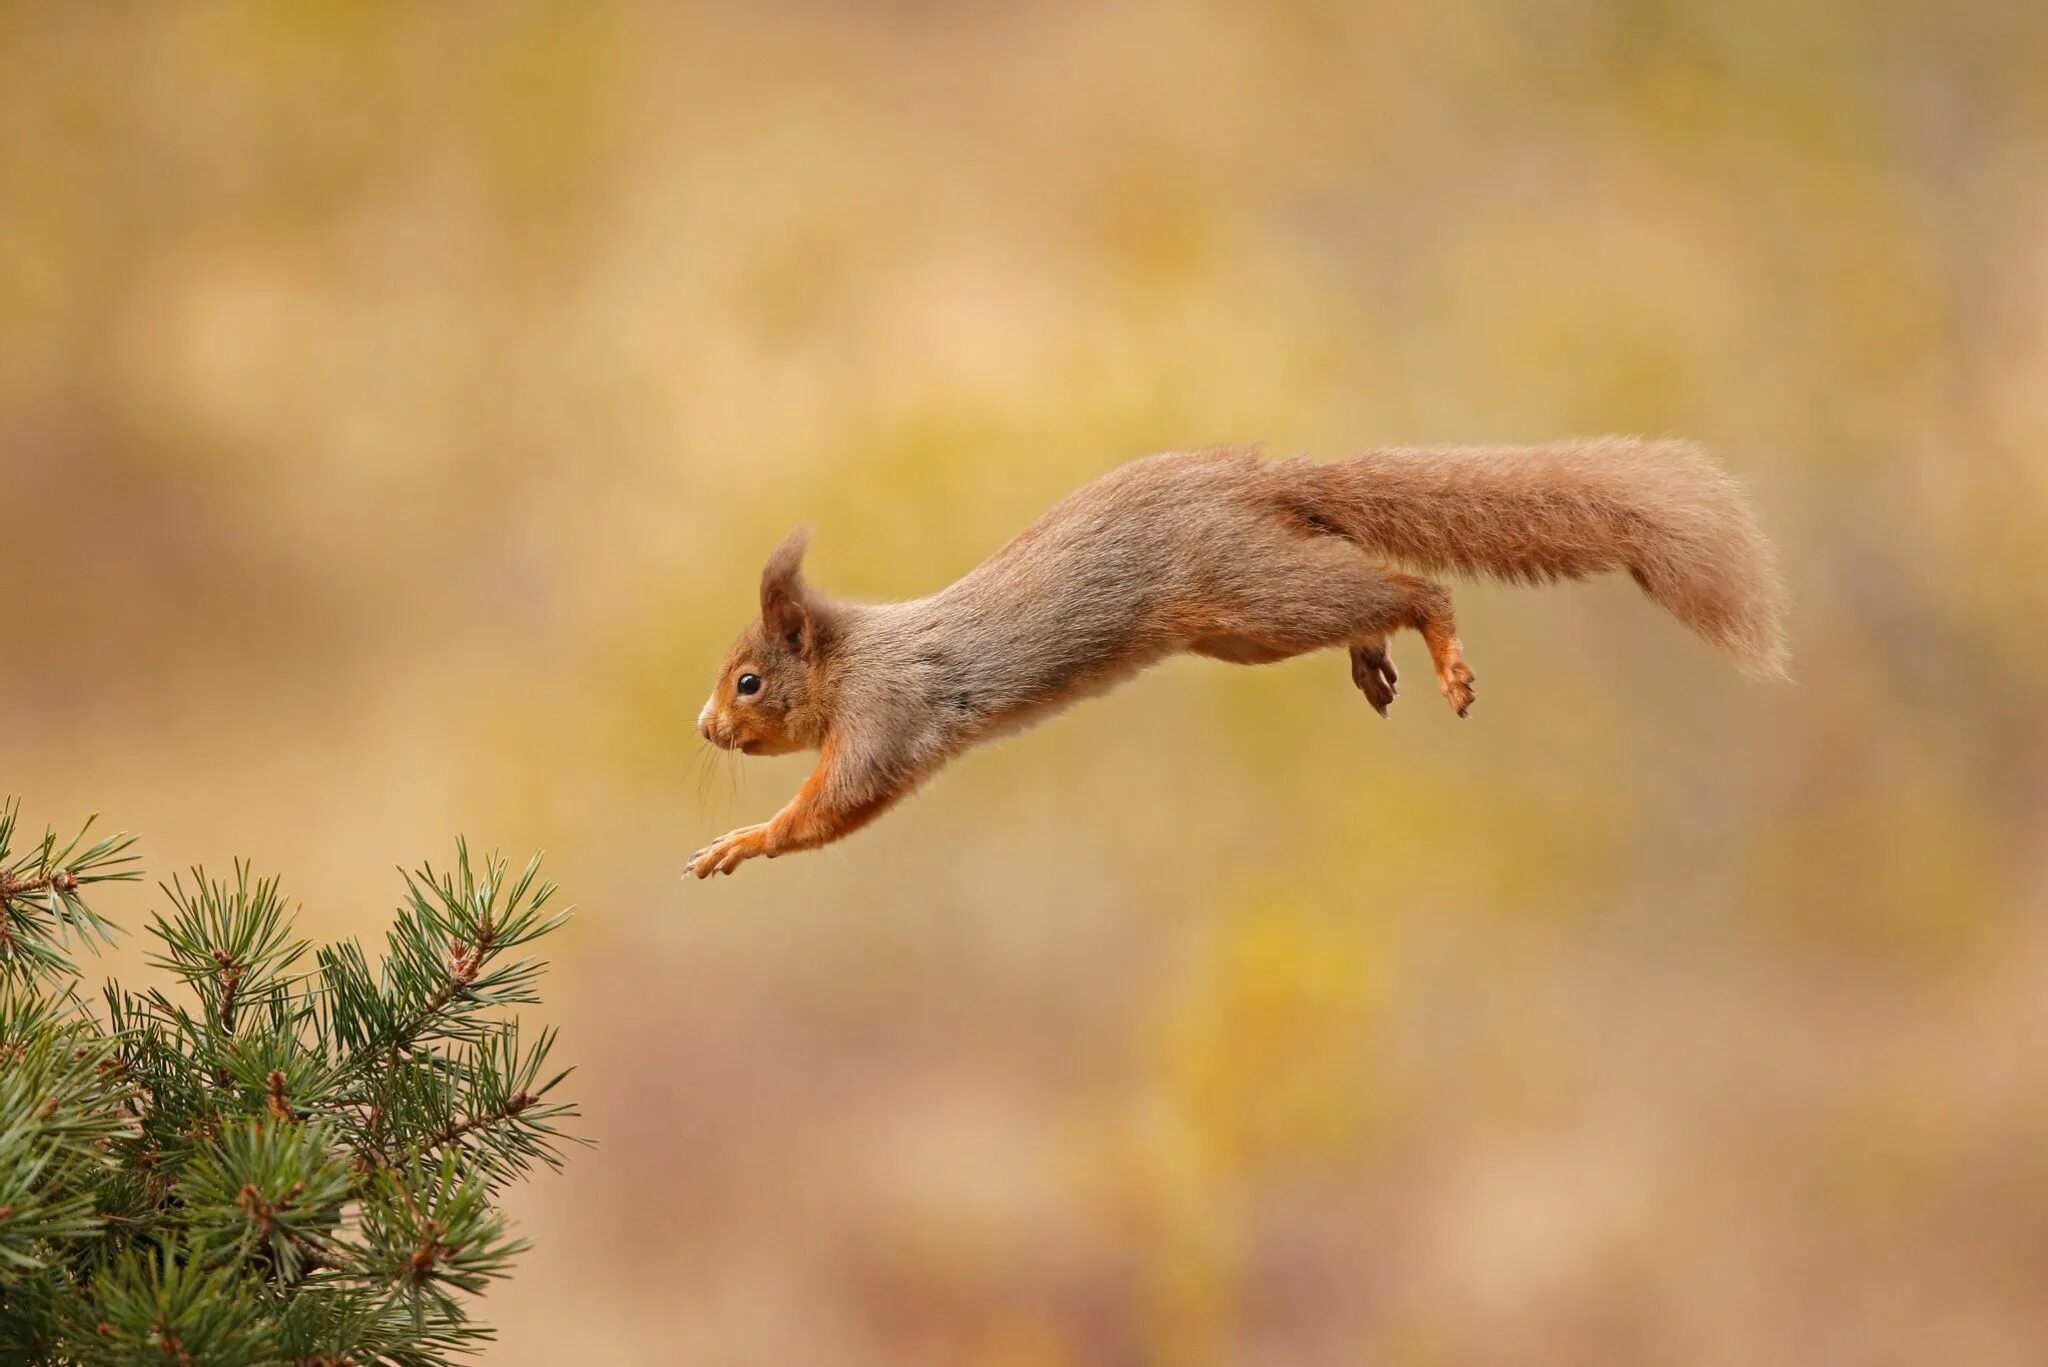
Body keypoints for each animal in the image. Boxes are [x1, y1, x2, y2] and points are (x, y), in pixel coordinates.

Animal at [684, 444, 1777, 881]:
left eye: (748, 681)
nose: (703, 727)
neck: (849, 656)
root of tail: (1250, 480)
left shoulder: (889, 716)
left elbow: (832, 806)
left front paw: (742, 840)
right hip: (1248, 621)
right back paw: (1371, 656)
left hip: (1247, 590)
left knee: (1410, 584)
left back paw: (1438, 647)